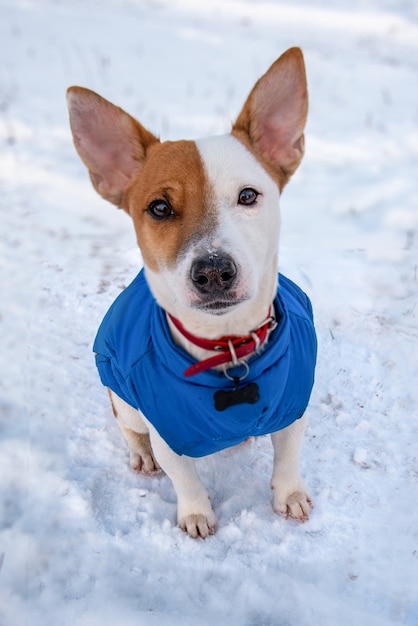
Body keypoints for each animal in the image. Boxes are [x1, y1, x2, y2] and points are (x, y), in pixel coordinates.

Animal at [67, 47, 316, 536]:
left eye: (248, 195)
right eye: (160, 207)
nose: (214, 271)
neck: (229, 348)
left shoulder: (294, 403)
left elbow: (289, 453)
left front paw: (290, 493)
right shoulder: (166, 429)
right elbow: (183, 475)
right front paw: (197, 513)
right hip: (122, 400)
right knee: (129, 429)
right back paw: (140, 455)